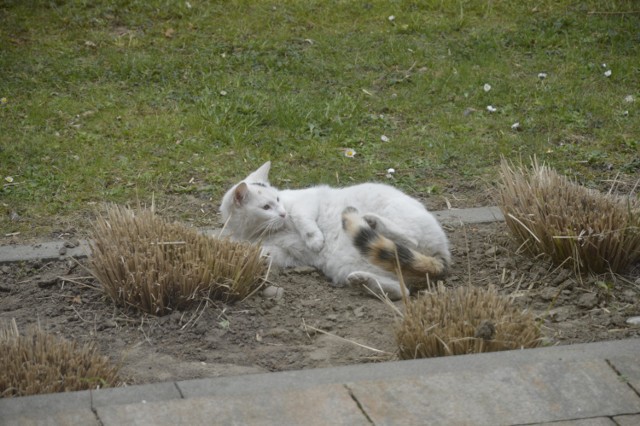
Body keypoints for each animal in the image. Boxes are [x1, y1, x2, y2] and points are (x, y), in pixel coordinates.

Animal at [220, 162, 450, 300]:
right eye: (266, 207)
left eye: (277, 199)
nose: (283, 213)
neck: (260, 231)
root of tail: (443, 256)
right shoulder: (282, 253)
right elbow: (262, 252)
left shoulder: (307, 199)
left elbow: (302, 218)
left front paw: (314, 239)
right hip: (343, 267)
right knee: (402, 290)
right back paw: (363, 281)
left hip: (395, 212)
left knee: (411, 241)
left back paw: (372, 222)